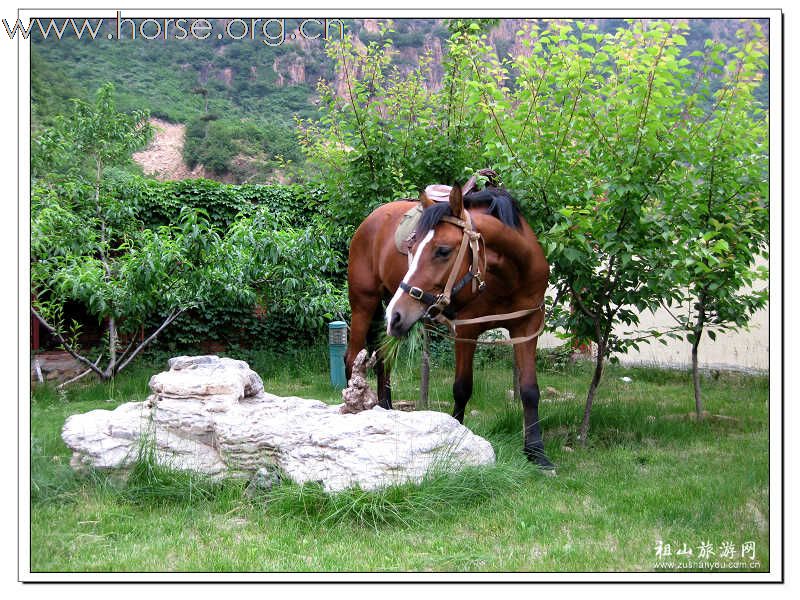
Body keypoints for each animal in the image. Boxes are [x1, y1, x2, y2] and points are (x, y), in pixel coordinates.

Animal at [346, 183, 552, 468]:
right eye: (412, 246)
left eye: (442, 251)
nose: (397, 314)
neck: (510, 276)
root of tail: (371, 219)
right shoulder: (466, 329)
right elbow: (462, 388)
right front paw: (457, 437)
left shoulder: (526, 328)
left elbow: (530, 390)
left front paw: (537, 452)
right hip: (364, 305)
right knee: (352, 358)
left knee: (384, 360)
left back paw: (386, 409)